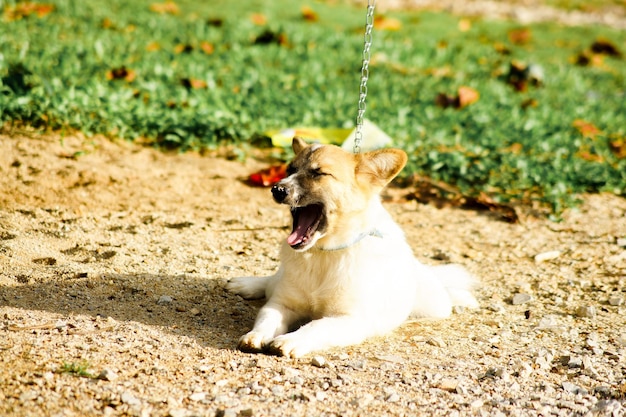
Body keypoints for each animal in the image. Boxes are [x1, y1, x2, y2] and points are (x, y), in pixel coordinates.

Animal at [225, 137, 478, 358]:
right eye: (289, 170)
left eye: (319, 173)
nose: (276, 189)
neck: (323, 255)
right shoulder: (281, 304)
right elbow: (267, 318)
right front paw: (256, 334)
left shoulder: (349, 320)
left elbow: (316, 326)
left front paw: (291, 340)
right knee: (272, 281)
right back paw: (246, 284)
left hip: (434, 305)